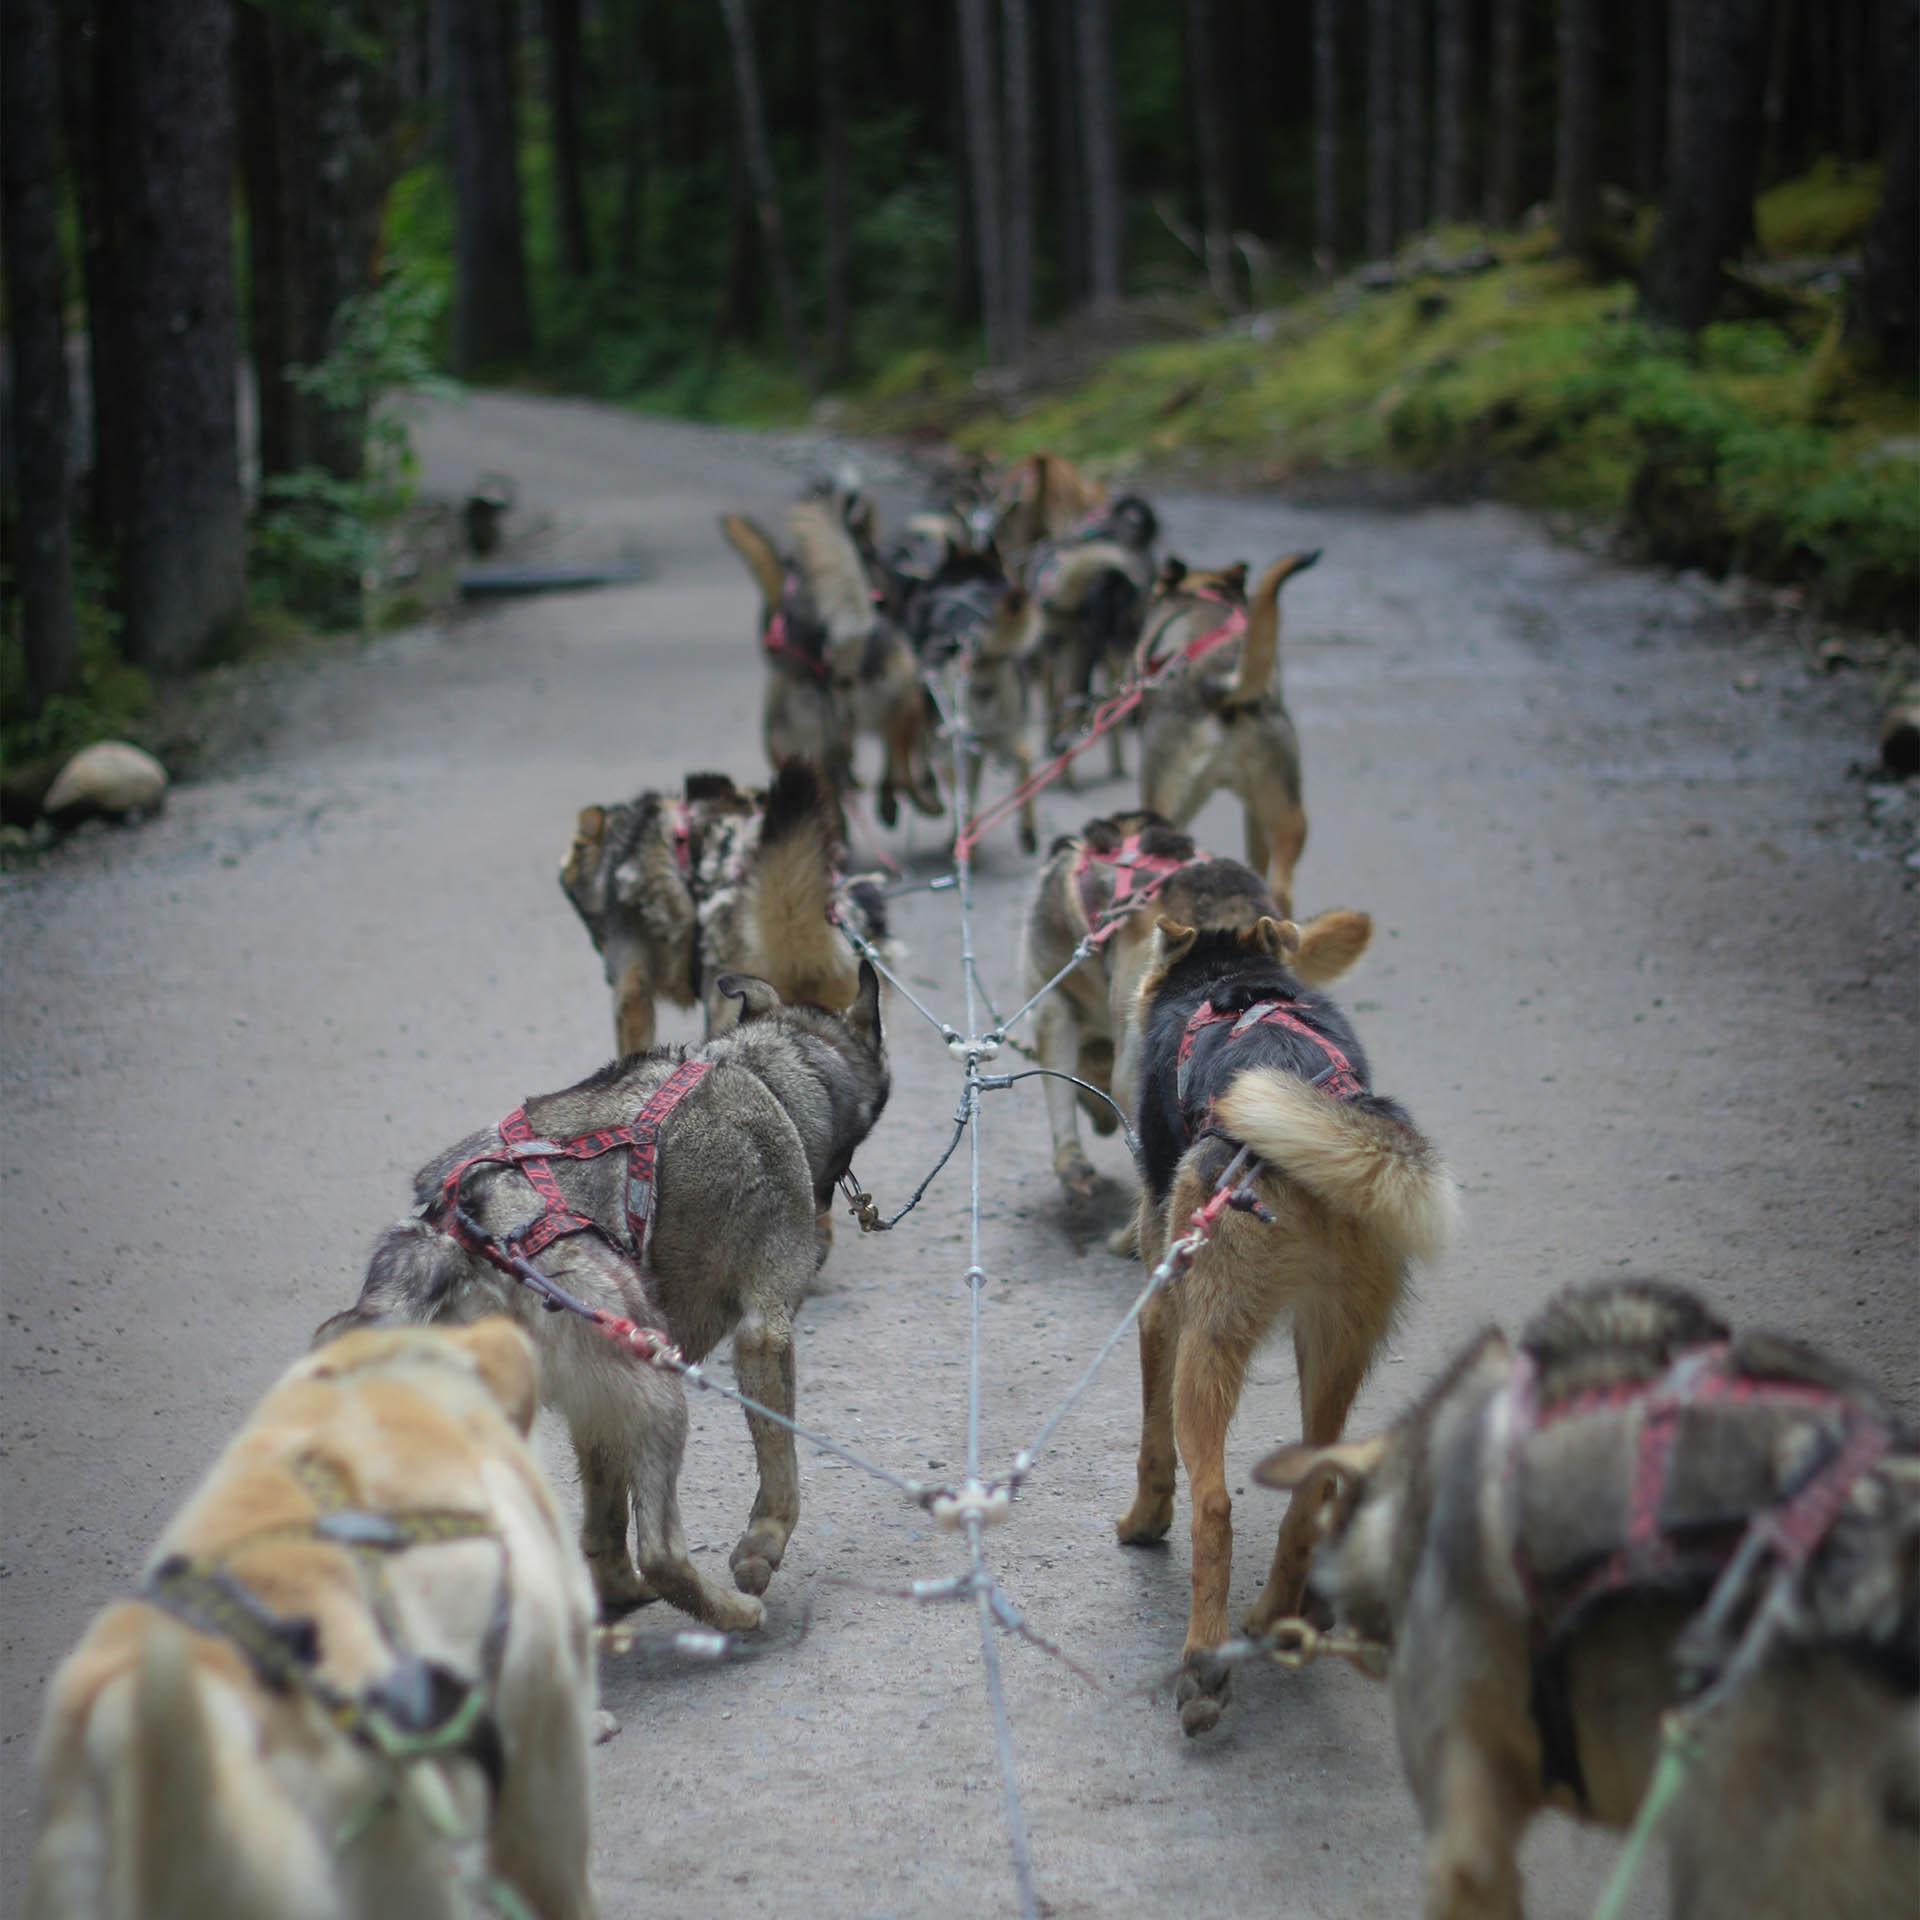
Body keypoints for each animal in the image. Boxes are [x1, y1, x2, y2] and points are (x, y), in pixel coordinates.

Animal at [318, 967, 887, 1628]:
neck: (767, 1068)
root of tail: (458, 1238)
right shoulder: (763, 1329)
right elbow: (781, 1474)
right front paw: (761, 1547)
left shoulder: (595, 1407)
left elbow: (604, 1514)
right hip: (659, 1386)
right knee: (663, 1551)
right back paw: (730, 1612)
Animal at [1113, 906, 1451, 1735]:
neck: (1230, 976)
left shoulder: (1161, 1308)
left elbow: (1152, 1448)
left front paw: (1144, 1520)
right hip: (1334, 1348)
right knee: (1309, 1489)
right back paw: (1279, 1612)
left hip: (1208, 1349)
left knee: (1215, 1506)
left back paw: (1204, 1665)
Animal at [1136, 556, 1320, 913]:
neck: (1205, 592)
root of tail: (1219, 686)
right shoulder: (1255, 813)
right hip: (1286, 812)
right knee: (1280, 886)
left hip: (1163, 803)